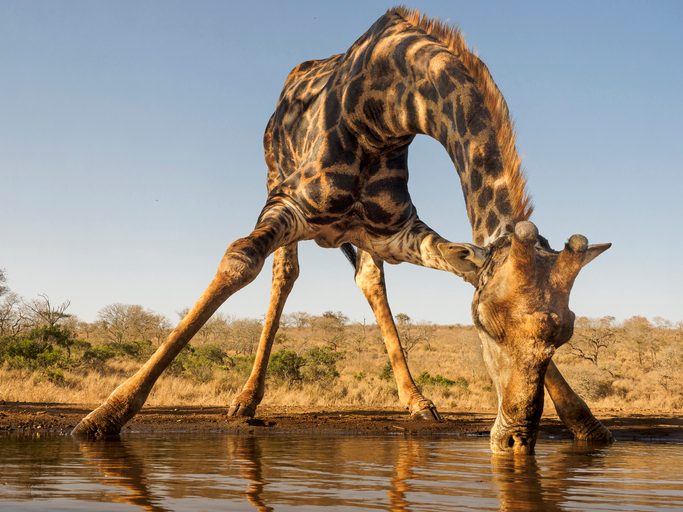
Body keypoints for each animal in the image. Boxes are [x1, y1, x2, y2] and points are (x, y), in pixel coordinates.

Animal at [72, 7, 613, 453]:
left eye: (566, 332)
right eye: (485, 326)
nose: (517, 438)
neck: (384, 112)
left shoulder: (398, 232)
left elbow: (463, 269)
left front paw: (586, 423)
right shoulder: (289, 202)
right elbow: (239, 260)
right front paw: (103, 417)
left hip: (357, 236)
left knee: (369, 280)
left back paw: (417, 401)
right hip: (276, 181)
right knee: (283, 274)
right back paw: (245, 401)